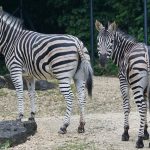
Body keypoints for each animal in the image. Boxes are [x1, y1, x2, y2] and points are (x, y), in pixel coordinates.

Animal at [95, 20, 150, 148]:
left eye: (111, 41)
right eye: (98, 40)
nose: (102, 62)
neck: (124, 51)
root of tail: (146, 52)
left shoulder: (123, 82)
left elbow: (126, 107)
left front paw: (125, 132)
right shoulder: (145, 88)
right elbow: (146, 108)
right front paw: (145, 133)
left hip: (135, 85)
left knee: (141, 107)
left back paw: (139, 141)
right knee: (144, 106)